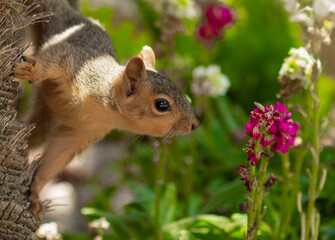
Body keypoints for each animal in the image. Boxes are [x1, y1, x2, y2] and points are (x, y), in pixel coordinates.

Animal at [14, 0, 201, 219]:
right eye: (162, 104)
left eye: (184, 93)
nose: (195, 124)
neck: (108, 111)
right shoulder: (76, 63)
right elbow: (53, 59)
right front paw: (32, 71)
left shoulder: (84, 131)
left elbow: (56, 157)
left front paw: (35, 193)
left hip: (46, 112)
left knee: (37, 133)